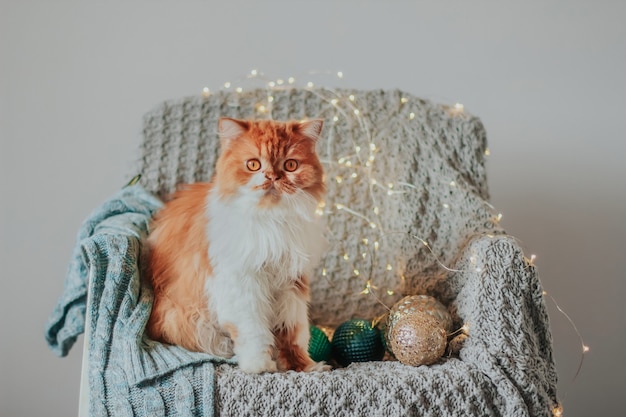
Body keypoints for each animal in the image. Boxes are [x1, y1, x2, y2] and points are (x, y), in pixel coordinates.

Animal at [145, 118, 326, 374]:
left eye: (290, 165)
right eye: (253, 165)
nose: (272, 177)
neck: (270, 222)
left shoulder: (291, 283)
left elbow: (293, 333)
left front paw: (303, 367)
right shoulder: (241, 284)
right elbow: (253, 331)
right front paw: (259, 365)